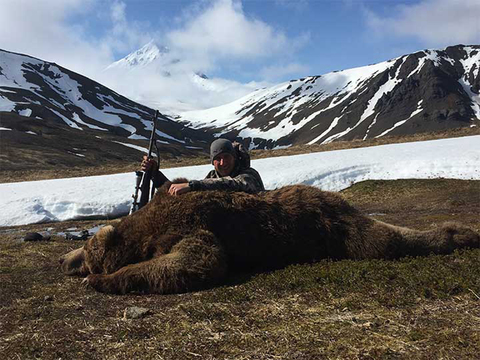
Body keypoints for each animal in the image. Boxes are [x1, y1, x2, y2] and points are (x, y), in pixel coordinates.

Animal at [60, 181, 480, 294]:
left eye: (87, 250)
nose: (63, 259)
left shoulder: (190, 224)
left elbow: (202, 260)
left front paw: (102, 280)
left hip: (333, 226)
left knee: (381, 241)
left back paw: (458, 233)